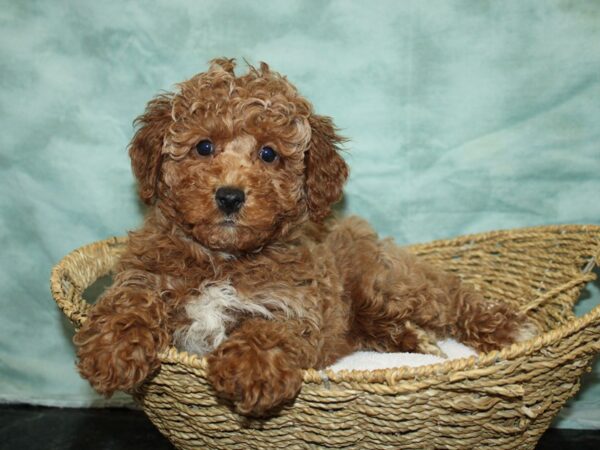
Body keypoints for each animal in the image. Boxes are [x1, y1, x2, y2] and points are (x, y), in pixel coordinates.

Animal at [75, 58, 528, 416]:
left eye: (269, 154)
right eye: (203, 146)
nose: (230, 196)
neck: (225, 259)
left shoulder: (294, 303)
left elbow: (270, 329)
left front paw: (250, 369)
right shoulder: (148, 273)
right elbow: (129, 302)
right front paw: (111, 351)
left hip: (387, 282)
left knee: (450, 295)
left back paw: (505, 329)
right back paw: (415, 341)